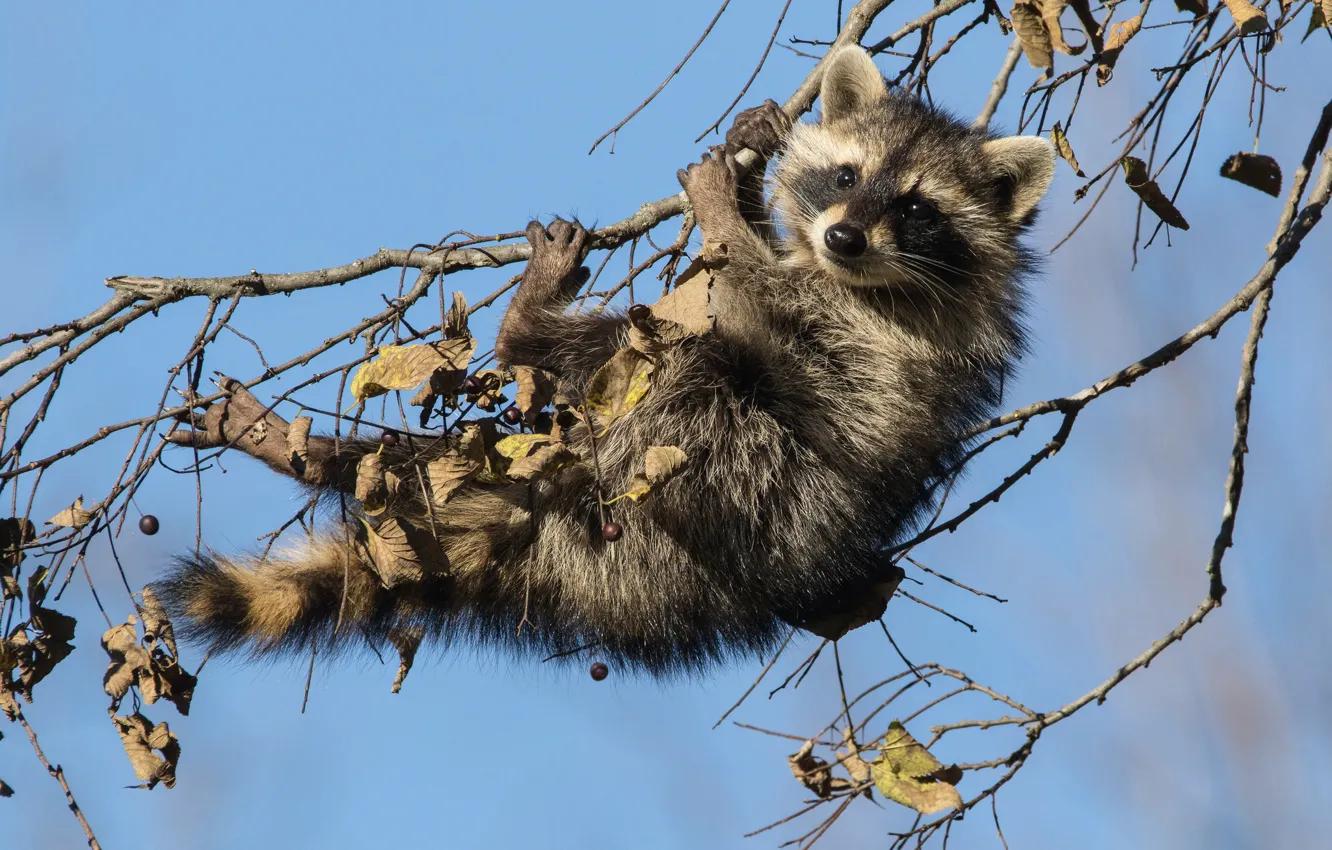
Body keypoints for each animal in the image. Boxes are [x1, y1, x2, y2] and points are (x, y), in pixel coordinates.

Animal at [157, 47, 1055, 675]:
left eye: (916, 208)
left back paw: (526, 330)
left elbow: (754, 290)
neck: (858, 273)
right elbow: (745, 274)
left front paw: (726, 211)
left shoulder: (878, 333)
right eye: (844, 174)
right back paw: (324, 456)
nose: (842, 236)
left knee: (685, 363)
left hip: (737, 477)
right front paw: (752, 159)